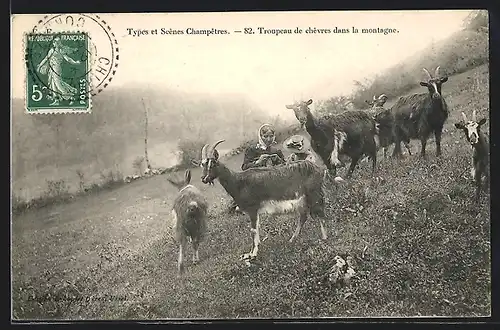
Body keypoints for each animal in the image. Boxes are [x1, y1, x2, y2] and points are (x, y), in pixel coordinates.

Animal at [197, 140, 330, 262]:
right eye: (203, 165)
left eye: (212, 164)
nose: (204, 178)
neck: (239, 182)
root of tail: (318, 169)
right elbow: (256, 229)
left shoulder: (252, 209)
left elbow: (253, 230)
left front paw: (252, 254)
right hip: (302, 201)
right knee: (303, 217)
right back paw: (292, 239)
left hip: (314, 195)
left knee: (320, 214)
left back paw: (324, 238)